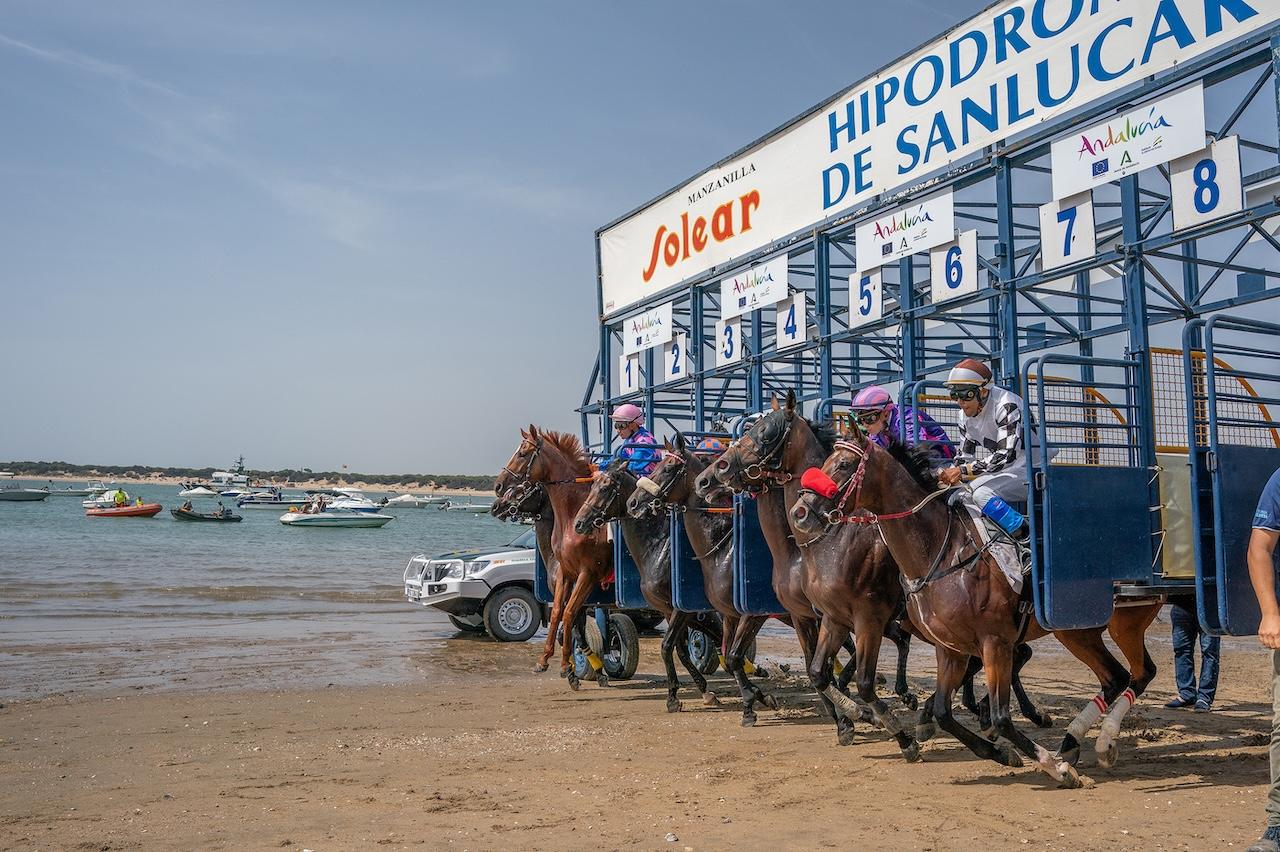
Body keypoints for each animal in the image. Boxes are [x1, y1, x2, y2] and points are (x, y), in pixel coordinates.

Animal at [494, 424, 614, 690]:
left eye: (523, 454)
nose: (497, 488)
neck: (573, 517)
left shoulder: (587, 575)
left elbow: (570, 615)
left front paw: (571, 667)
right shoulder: (566, 575)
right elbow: (559, 611)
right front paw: (546, 660)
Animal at [573, 457, 721, 711]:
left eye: (604, 488)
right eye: (592, 487)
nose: (579, 523)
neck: (658, 548)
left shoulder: (684, 609)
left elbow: (672, 645)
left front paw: (674, 697)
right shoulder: (671, 610)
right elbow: (681, 648)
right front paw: (703, 690)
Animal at [622, 437, 778, 721]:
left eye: (668, 467)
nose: (633, 503)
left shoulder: (743, 611)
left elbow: (720, 651)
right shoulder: (713, 611)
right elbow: (714, 652)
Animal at [788, 422, 1162, 788]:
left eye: (844, 465)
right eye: (824, 462)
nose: (800, 513)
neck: (941, 551)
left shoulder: (983, 640)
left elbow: (1000, 716)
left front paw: (1055, 769)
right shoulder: (942, 645)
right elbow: (940, 710)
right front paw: (1001, 753)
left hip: (1115, 622)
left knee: (1136, 673)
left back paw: (1093, 743)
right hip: (1076, 630)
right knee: (1118, 676)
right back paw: (1077, 742)